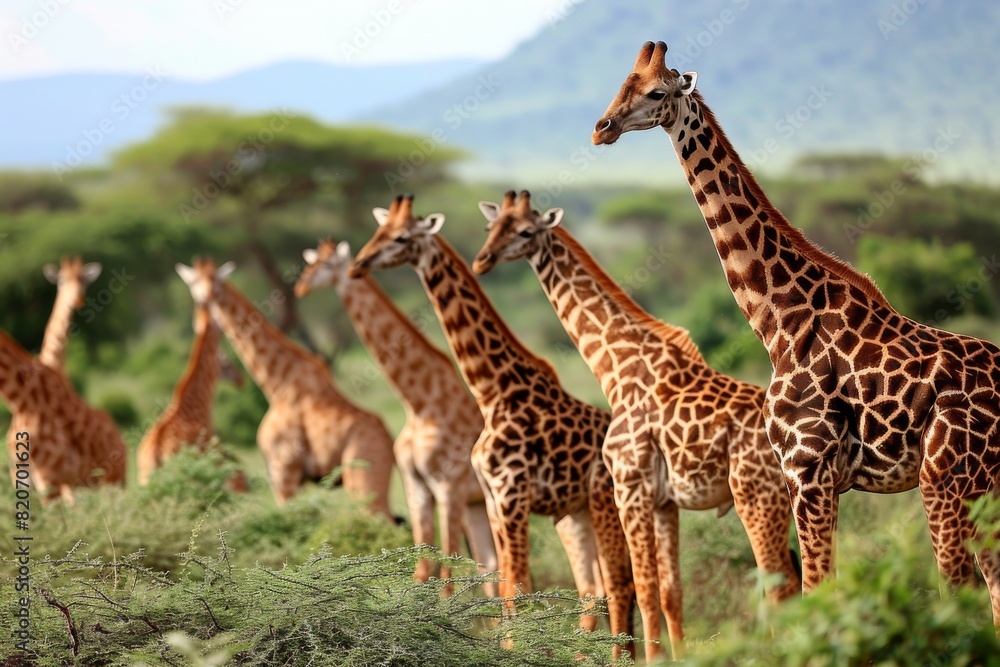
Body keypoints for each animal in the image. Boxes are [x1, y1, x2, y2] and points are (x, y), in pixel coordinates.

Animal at [174, 258, 395, 515]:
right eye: (194, 283)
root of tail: (391, 443)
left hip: (363, 483)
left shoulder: (283, 474)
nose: (204, 300)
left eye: (216, 284)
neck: (277, 384)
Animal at [295, 239, 496, 592]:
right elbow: (424, 568)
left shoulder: (449, 488)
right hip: (478, 505)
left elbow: (446, 574)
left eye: (328, 264)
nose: (300, 287)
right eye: (311, 261)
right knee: (490, 564)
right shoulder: (417, 487)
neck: (420, 405)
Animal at [350, 195, 636, 659]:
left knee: (623, 585)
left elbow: (514, 586)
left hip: (606, 505)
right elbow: (504, 585)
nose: (359, 264)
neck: (493, 391)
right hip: (574, 514)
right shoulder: (490, 498)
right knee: (595, 588)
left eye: (403, 237)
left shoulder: (511, 494)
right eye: (380, 231)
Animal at [473, 189, 800, 660]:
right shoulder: (663, 500)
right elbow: (669, 591)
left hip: (755, 497)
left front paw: (652, 660)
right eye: (491, 227)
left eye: (526, 231)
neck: (614, 368)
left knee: (779, 586)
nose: (482, 260)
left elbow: (642, 588)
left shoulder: (630, 486)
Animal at [593, 40, 1000, 624]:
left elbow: (814, 590)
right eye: (620, 85)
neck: (779, 321)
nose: (601, 128)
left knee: (960, 585)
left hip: (946, 480)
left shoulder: (806, 470)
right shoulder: (819, 480)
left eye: (653, 92)